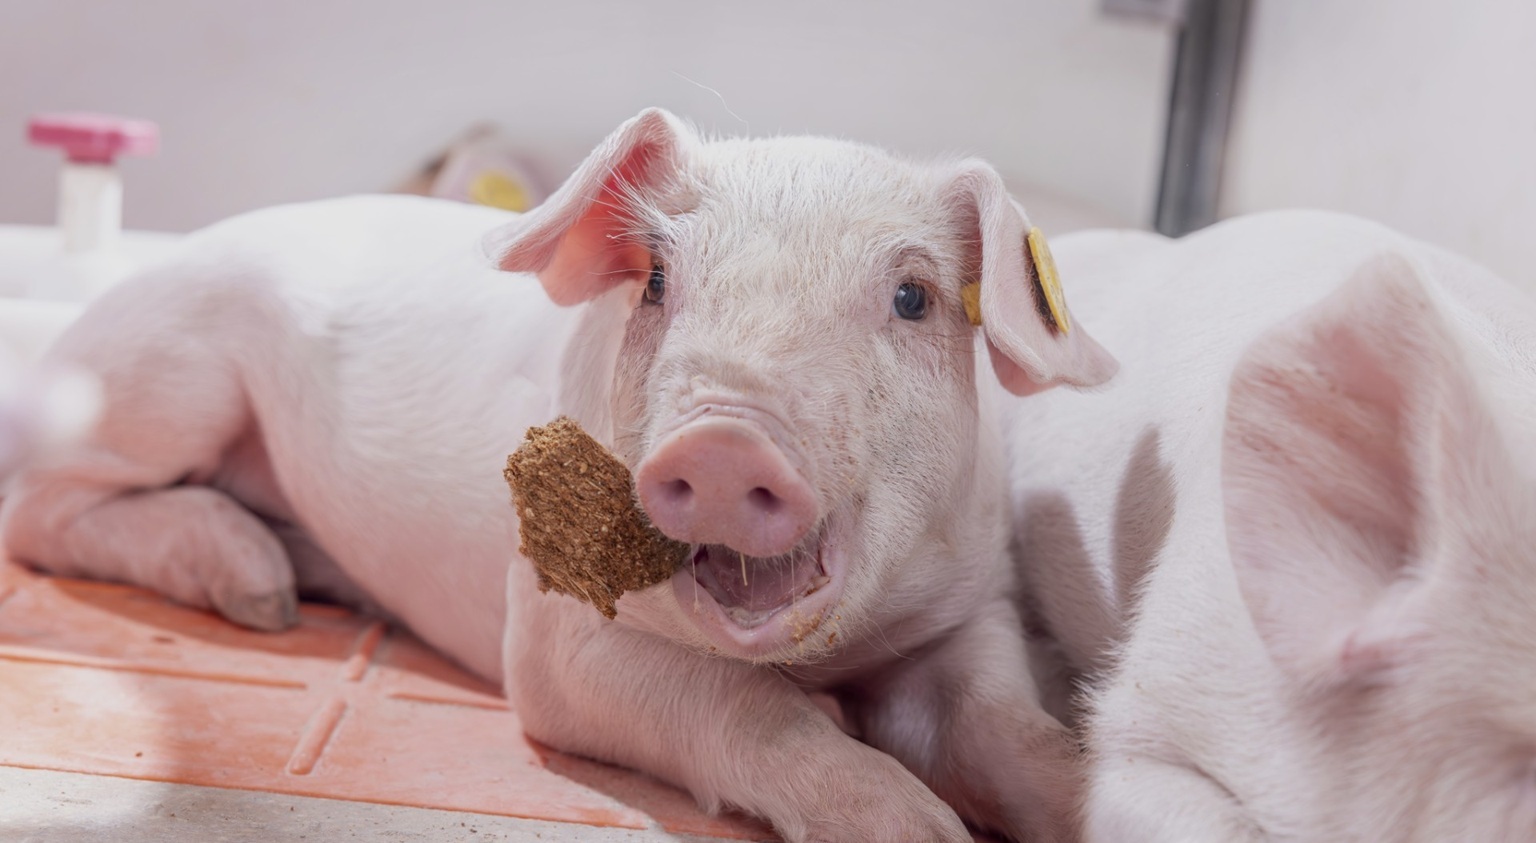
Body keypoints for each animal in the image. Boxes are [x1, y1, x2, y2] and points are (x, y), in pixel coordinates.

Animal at [0, 108, 1119, 842]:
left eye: (913, 297)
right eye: (659, 281)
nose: (723, 442)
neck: (824, 655)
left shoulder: (973, 603)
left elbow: (1011, 727)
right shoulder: (548, 642)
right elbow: (743, 707)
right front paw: (922, 830)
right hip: (163, 378)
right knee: (39, 509)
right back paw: (258, 596)